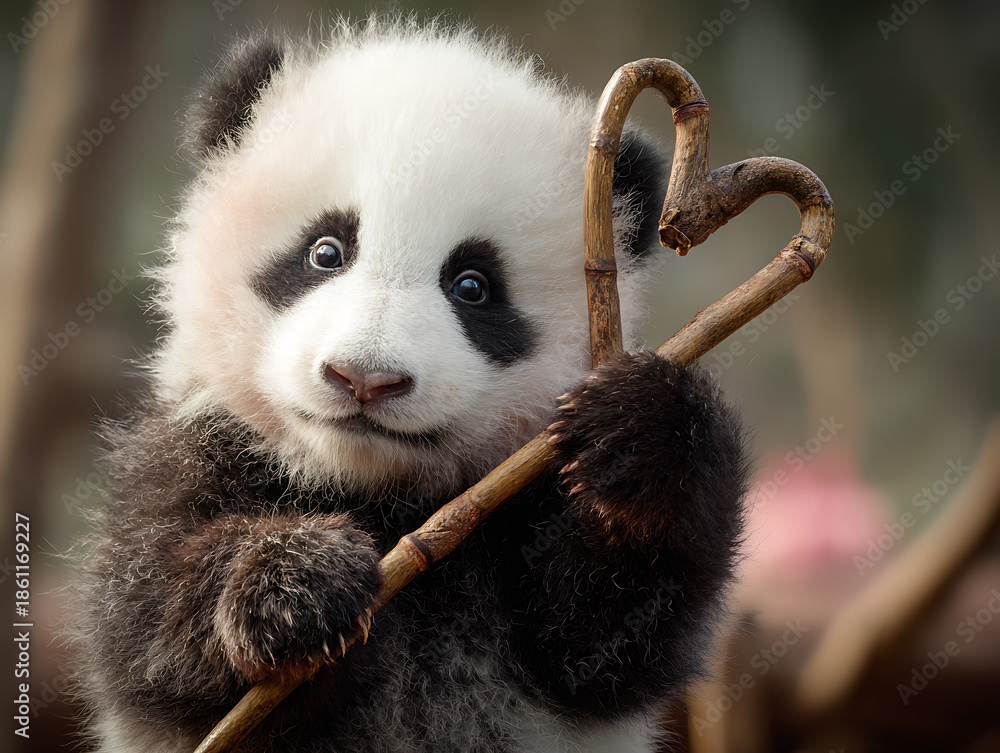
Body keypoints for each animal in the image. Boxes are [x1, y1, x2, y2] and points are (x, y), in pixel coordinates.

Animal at [68, 18, 747, 753]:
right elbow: (143, 622)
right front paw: (293, 586)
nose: (364, 378)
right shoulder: (189, 451)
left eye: (473, 286)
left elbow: (607, 636)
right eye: (326, 251)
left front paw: (642, 430)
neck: (372, 490)